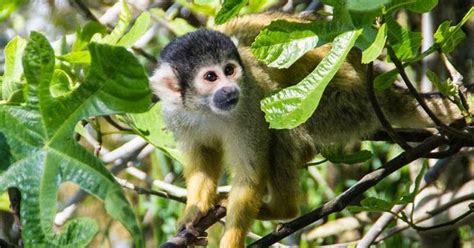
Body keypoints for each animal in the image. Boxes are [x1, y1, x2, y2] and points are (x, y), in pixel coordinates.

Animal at [150, 13, 464, 248]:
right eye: (210, 77)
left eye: (229, 70)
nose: (229, 90)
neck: (206, 109)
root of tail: (377, 88)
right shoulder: (176, 114)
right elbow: (201, 162)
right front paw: (193, 214)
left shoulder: (249, 102)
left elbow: (249, 176)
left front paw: (230, 240)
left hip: (341, 104)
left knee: (281, 125)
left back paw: (283, 208)